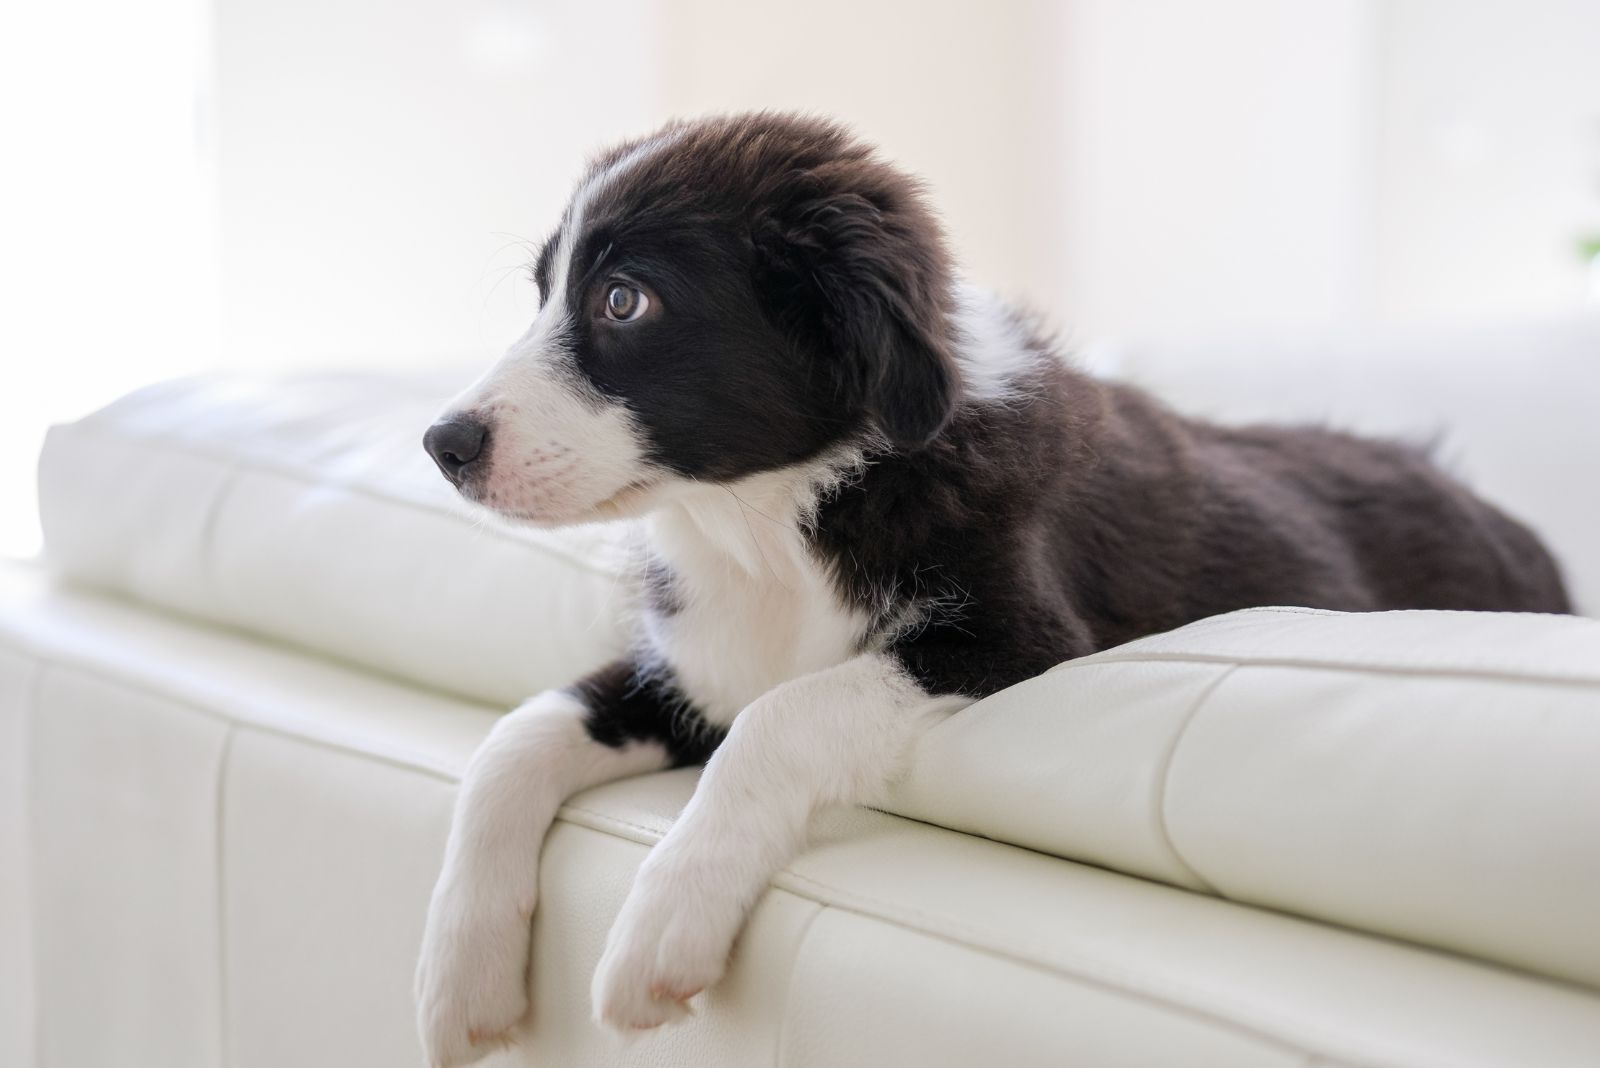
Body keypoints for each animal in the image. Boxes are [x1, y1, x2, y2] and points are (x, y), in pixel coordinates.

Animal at [416, 112, 1574, 1061]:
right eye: (545, 293)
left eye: (623, 300)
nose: (442, 445)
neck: (774, 525)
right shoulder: (696, 666)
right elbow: (515, 738)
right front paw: (454, 981)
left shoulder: (1026, 638)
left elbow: (785, 715)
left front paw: (660, 930)